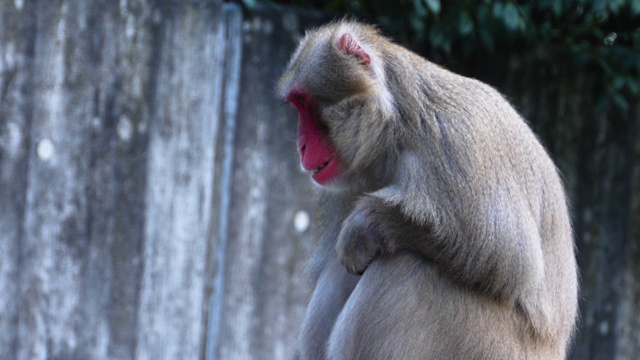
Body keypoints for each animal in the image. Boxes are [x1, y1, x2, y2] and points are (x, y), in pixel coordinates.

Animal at [278, 20, 576, 360]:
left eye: (305, 103)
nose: (301, 146)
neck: (396, 130)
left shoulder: (457, 141)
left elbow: (510, 260)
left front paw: (370, 224)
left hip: (491, 346)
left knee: (408, 264)